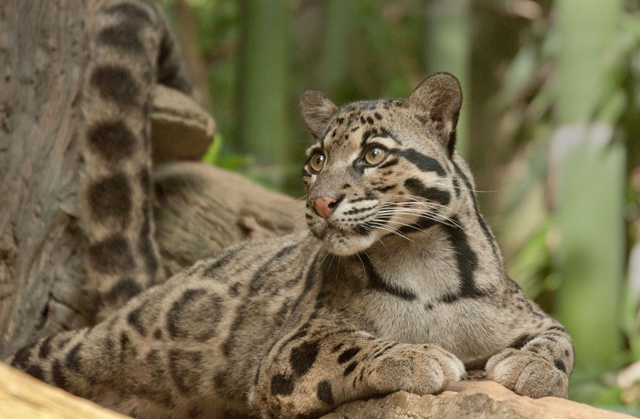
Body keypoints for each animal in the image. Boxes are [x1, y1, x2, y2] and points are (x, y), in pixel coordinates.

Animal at [5, 1, 574, 418]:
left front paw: (531, 368)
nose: (321, 201)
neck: (422, 259)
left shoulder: (529, 313)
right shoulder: (291, 347)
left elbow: (561, 340)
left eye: (373, 154)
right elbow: (348, 347)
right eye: (316, 159)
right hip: (96, 351)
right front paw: (418, 355)